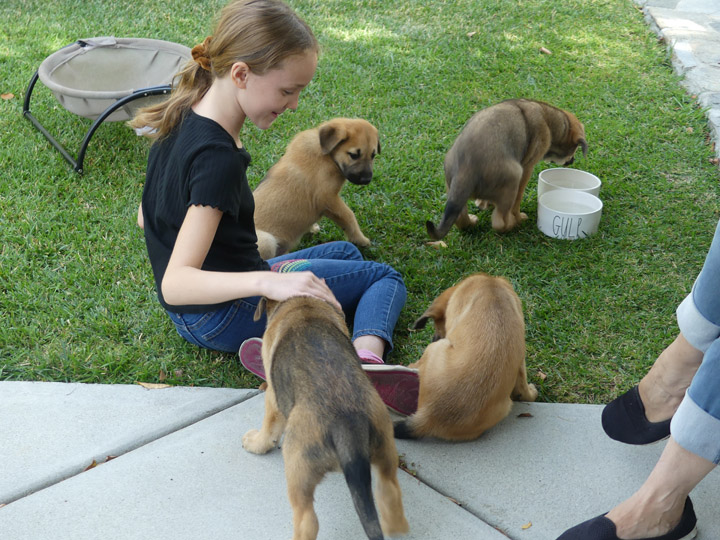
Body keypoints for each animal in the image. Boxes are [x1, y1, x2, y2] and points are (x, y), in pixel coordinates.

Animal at [242, 296, 408, 540]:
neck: (303, 304)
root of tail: (347, 424)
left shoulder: (273, 396)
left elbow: (268, 429)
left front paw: (255, 443)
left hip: (298, 470)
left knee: (307, 521)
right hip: (385, 448)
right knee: (390, 494)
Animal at [253, 117, 380, 260]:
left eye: (373, 155)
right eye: (353, 155)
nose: (366, 180)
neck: (326, 155)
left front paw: (312, 228)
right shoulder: (328, 198)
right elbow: (349, 217)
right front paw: (361, 239)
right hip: (266, 241)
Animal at [394, 272, 540, 440]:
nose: (434, 338)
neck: (490, 284)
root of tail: (429, 418)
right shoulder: (520, 357)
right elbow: (522, 385)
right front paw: (531, 394)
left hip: (435, 348)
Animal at [428, 99, 584, 238]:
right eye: (575, 149)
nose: (572, 161)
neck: (549, 119)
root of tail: (465, 170)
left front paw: (484, 203)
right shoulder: (527, 168)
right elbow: (517, 201)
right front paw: (518, 216)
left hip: (450, 183)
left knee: (459, 217)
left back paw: (471, 222)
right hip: (513, 178)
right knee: (499, 222)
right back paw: (513, 223)